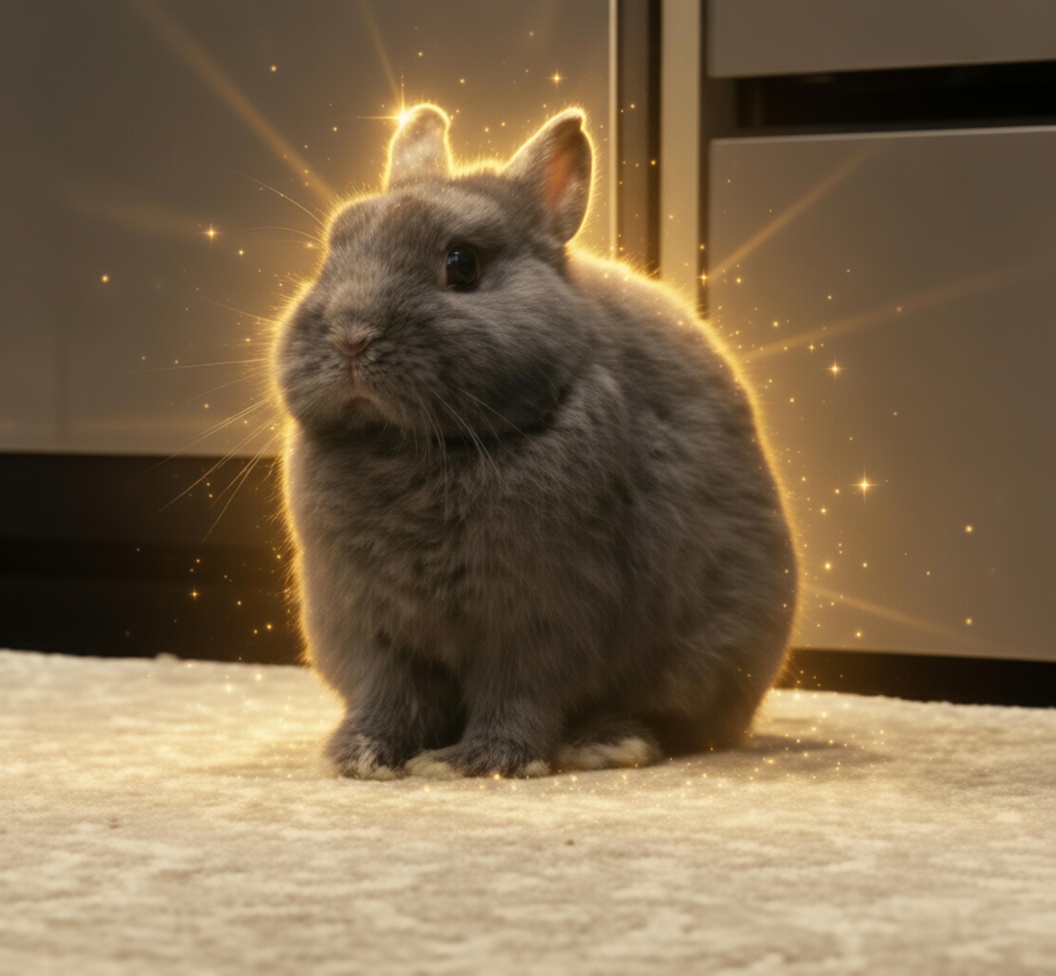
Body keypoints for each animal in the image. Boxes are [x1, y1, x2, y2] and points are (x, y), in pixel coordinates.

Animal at [272, 104, 797, 779]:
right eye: (330, 253)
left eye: (461, 264)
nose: (350, 336)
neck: (422, 446)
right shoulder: (372, 628)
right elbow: (390, 697)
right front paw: (364, 757)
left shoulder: (536, 623)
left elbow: (518, 696)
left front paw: (473, 763)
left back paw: (607, 742)